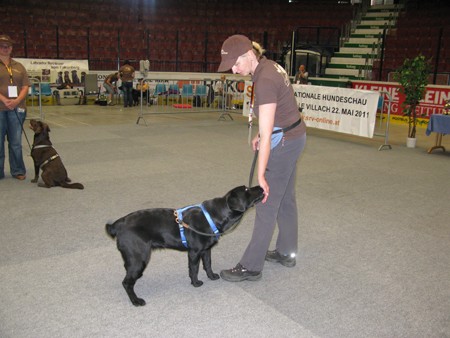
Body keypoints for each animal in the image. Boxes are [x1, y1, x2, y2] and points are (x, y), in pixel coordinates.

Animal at [105, 185, 264, 306]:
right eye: (247, 189)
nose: (261, 187)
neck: (213, 216)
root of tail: (118, 224)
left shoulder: (206, 250)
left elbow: (208, 264)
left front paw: (211, 276)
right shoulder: (194, 252)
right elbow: (194, 269)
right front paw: (196, 283)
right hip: (139, 257)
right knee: (126, 282)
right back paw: (136, 301)